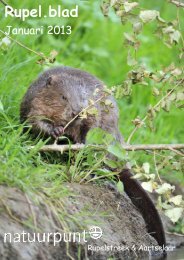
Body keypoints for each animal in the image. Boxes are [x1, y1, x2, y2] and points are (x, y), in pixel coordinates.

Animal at [20, 66, 167, 255]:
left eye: (84, 98)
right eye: (64, 97)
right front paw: (56, 130)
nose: (77, 111)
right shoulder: (35, 100)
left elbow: (90, 125)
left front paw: (82, 142)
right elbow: (36, 120)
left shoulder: (94, 108)